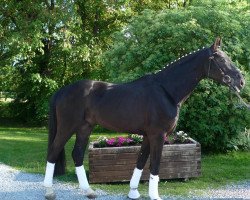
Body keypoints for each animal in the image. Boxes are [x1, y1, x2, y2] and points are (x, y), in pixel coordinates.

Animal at [43, 38, 244, 199]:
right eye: (221, 59)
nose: (240, 81)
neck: (166, 91)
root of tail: (62, 90)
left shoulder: (148, 135)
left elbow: (140, 161)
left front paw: (133, 192)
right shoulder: (158, 135)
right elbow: (154, 165)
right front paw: (155, 196)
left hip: (85, 128)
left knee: (77, 154)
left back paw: (89, 191)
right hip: (67, 127)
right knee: (53, 151)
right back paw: (49, 191)